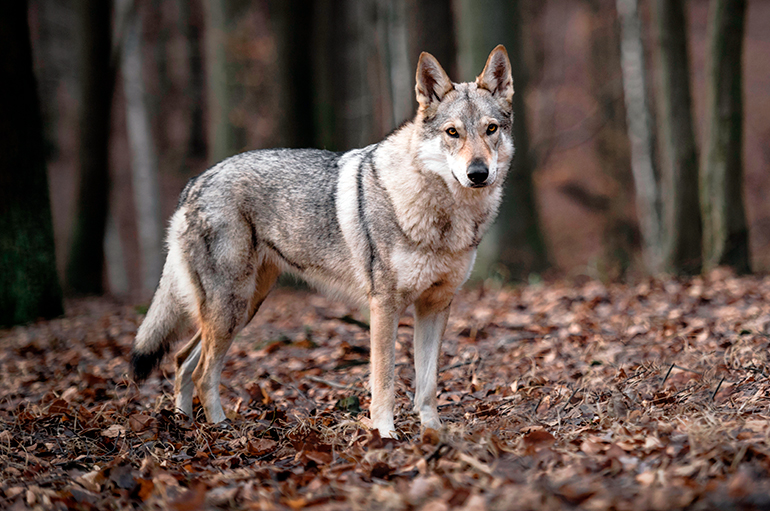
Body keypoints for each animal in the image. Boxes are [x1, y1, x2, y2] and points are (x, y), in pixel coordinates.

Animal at [130, 45, 515, 438]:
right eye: (453, 132)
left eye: (491, 129)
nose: (478, 173)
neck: (442, 215)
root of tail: (195, 182)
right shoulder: (384, 307)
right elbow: (384, 381)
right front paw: (385, 436)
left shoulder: (435, 306)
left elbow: (427, 384)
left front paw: (433, 434)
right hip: (230, 308)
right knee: (201, 372)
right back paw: (222, 430)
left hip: (243, 308)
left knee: (181, 360)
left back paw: (184, 425)